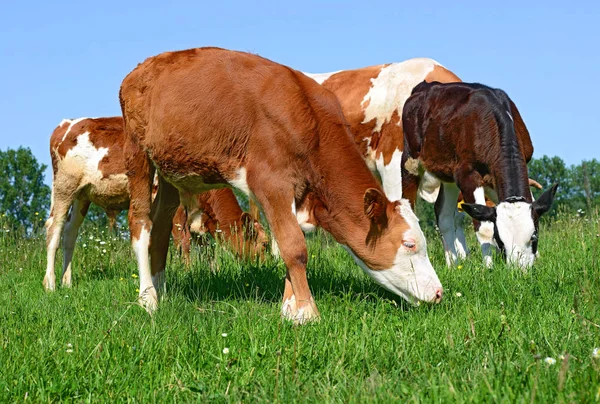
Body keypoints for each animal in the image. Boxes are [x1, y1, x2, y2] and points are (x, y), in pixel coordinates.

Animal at [44, 117, 264, 290]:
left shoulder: (196, 216)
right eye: (263, 244)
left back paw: (67, 281)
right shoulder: (176, 210)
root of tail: (68, 123)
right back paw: (50, 284)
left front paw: (213, 271)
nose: (260, 266)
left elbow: (206, 248)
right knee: (53, 230)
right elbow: (184, 244)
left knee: (70, 233)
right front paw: (186, 270)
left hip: (82, 196)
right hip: (64, 188)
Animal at [119, 45, 442, 322]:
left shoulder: (295, 192)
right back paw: (147, 299)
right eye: (410, 244)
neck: (309, 120)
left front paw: (290, 309)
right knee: (141, 224)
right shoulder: (271, 182)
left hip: (171, 170)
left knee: (161, 228)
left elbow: (289, 242)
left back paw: (161, 291)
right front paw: (308, 312)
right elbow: (294, 246)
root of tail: (142, 68)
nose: (439, 293)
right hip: (138, 153)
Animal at [400, 81, 560, 270]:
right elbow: (484, 228)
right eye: (500, 240)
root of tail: (426, 85)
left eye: (534, 236)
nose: (519, 271)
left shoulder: (493, 179)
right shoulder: (467, 175)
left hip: (449, 174)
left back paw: (453, 264)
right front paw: (489, 267)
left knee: (443, 214)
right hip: (410, 161)